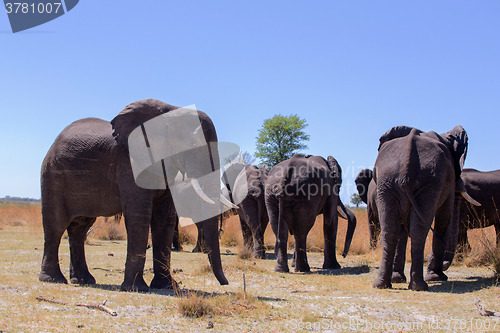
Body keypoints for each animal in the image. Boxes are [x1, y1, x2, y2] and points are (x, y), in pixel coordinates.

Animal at [39, 98, 230, 290]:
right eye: (193, 145)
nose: (225, 283)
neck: (169, 112)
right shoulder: (129, 162)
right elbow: (139, 214)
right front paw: (136, 288)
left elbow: (164, 218)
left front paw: (166, 286)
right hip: (52, 174)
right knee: (56, 225)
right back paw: (53, 279)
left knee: (79, 228)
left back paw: (83, 280)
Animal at [374, 126, 478, 290]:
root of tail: (407, 158)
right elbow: (444, 218)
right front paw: (437, 277)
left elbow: (401, 229)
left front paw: (397, 279)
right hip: (429, 182)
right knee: (419, 231)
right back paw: (421, 286)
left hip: (387, 182)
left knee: (390, 230)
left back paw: (382, 284)